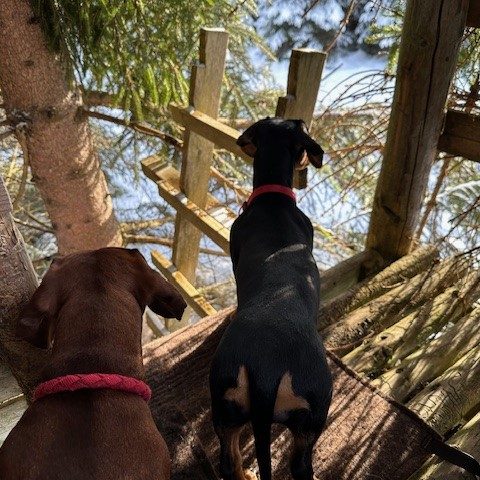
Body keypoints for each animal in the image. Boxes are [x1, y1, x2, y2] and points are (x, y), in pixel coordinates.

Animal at [210, 118, 333, 480]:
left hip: (227, 407)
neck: (273, 197)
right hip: (312, 416)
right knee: (296, 466)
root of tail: (265, 370)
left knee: (230, 460)